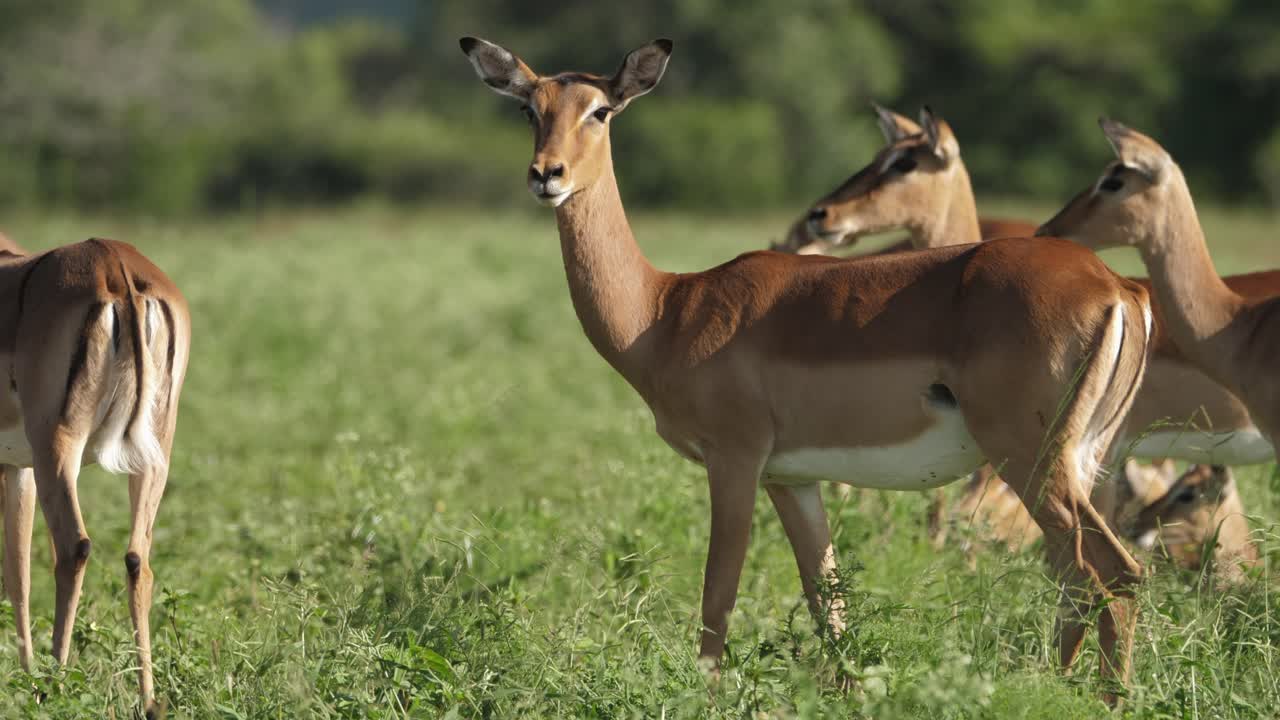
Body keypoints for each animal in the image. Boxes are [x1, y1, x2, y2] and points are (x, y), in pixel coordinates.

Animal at [0, 237, 189, 718]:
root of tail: (114, 262)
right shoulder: (18, 468)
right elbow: (19, 573)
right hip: (155, 453)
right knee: (138, 559)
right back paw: (148, 700)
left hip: (57, 447)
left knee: (74, 549)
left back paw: (51, 690)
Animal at [461, 37, 1154, 697]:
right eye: (530, 108)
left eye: (600, 110)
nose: (546, 174)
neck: (666, 309)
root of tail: (1117, 287)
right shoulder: (792, 478)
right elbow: (827, 600)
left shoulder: (735, 460)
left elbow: (718, 597)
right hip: (1078, 462)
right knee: (1084, 579)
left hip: (1029, 459)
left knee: (1109, 574)